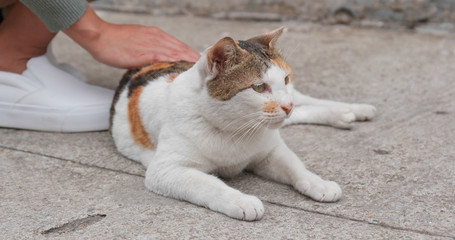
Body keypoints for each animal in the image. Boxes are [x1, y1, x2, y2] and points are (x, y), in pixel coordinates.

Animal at [108, 27, 376, 220]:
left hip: (296, 101)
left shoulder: (271, 150)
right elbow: (209, 184)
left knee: (305, 102)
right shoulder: (166, 170)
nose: (286, 106)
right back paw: (343, 116)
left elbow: (296, 167)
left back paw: (355, 109)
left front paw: (318, 183)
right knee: (302, 112)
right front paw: (241, 201)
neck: (236, 130)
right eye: (258, 87)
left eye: (285, 79)